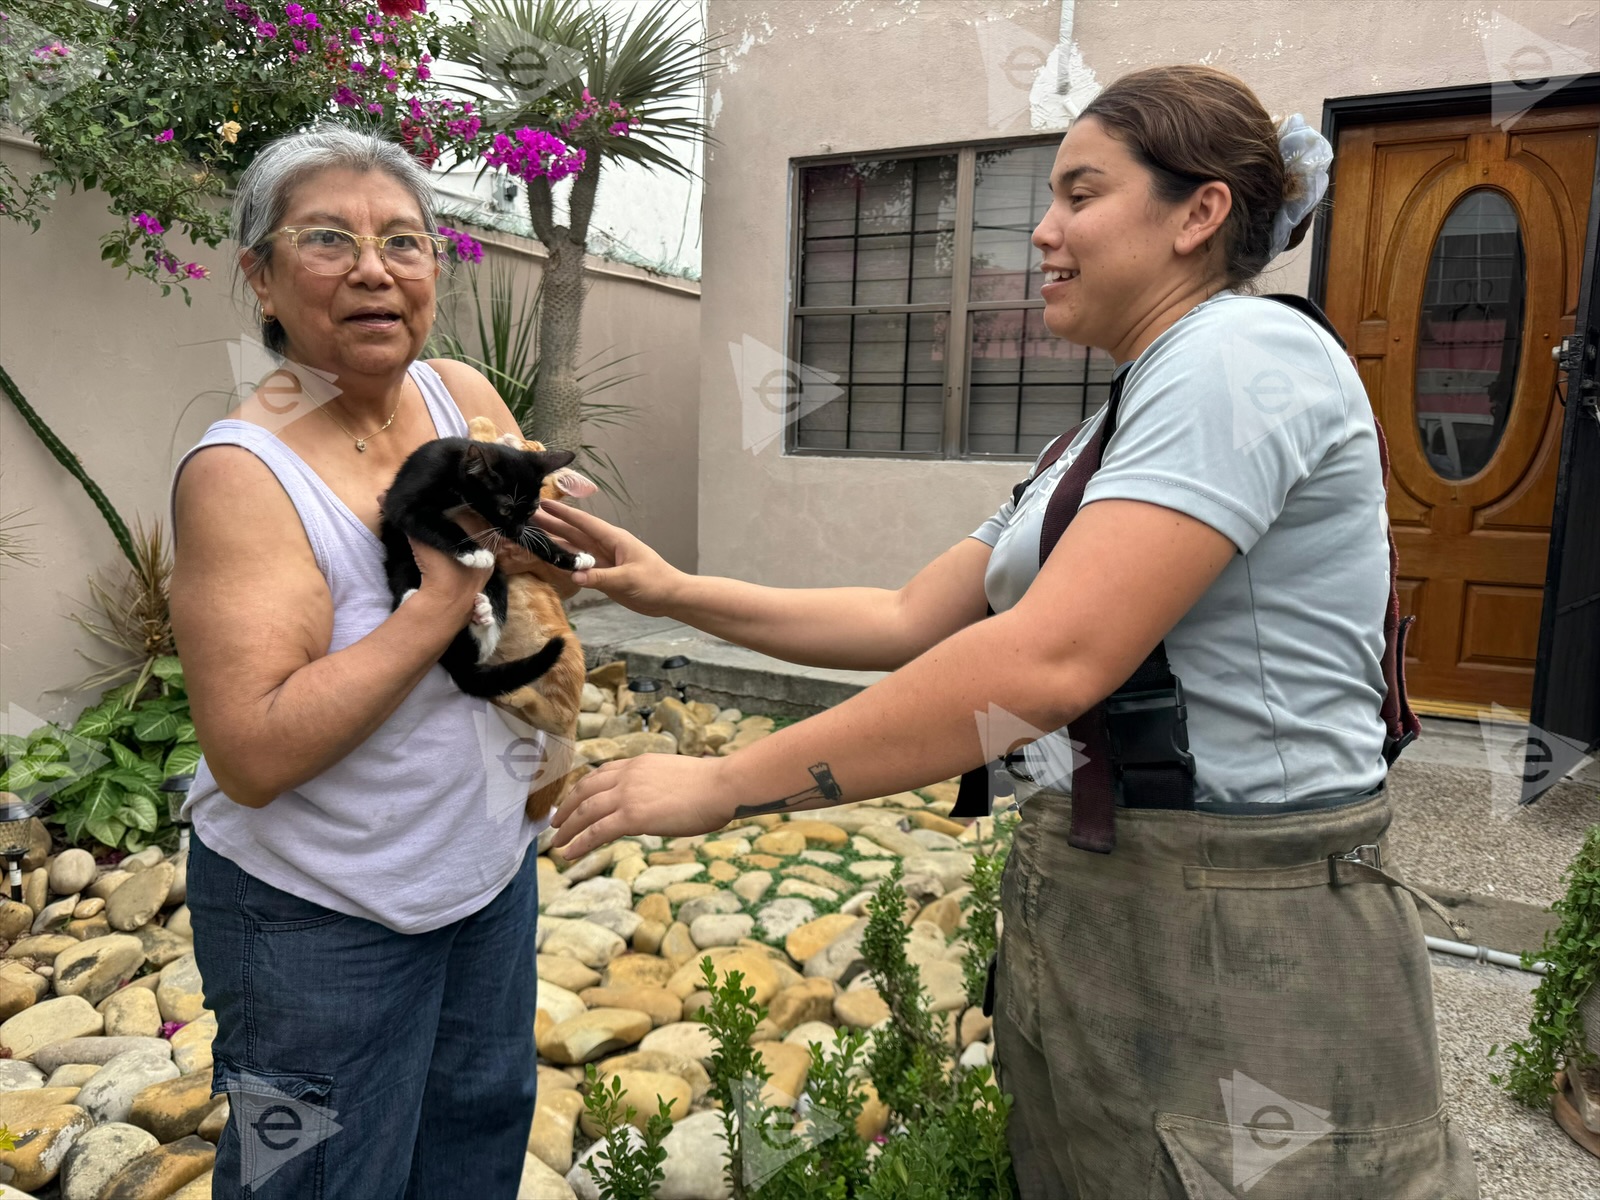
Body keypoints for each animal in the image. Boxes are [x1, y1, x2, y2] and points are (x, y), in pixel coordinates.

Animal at [380, 435, 595, 704]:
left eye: (532, 509)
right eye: (505, 509)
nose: (514, 532)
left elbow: (538, 538)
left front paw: (575, 558)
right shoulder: (406, 498)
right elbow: (431, 520)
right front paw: (475, 552)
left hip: (497, 581)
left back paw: (482, 616)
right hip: (399, 556)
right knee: (401, 576)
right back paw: (411, 598)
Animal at [467, 419, 601, 825]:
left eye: (535, 448)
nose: (525, 436)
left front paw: (482, 427)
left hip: (562, 659)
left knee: (558, 715)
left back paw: (523, 694)